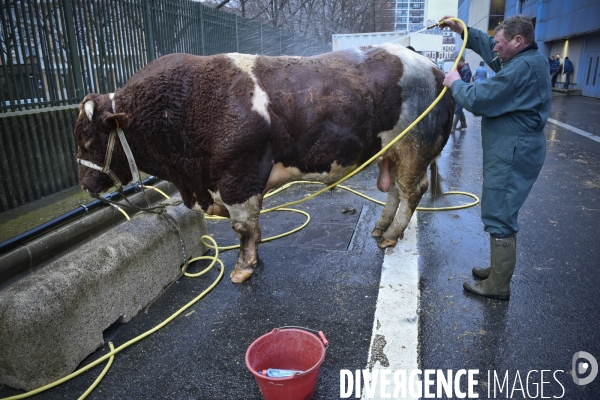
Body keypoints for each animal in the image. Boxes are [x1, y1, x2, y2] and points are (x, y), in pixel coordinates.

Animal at [76, 45, 454, 282]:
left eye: (88, 138)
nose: (85, 183)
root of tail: (434, 67)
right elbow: (253, 228)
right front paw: (253, 258)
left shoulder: (238, 178)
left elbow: (243, 228)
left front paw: (243, 268)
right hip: (391, 153)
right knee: (394, 191)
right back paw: (380, 227)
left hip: (415, 149)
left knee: (412, 191)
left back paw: (391, 235)